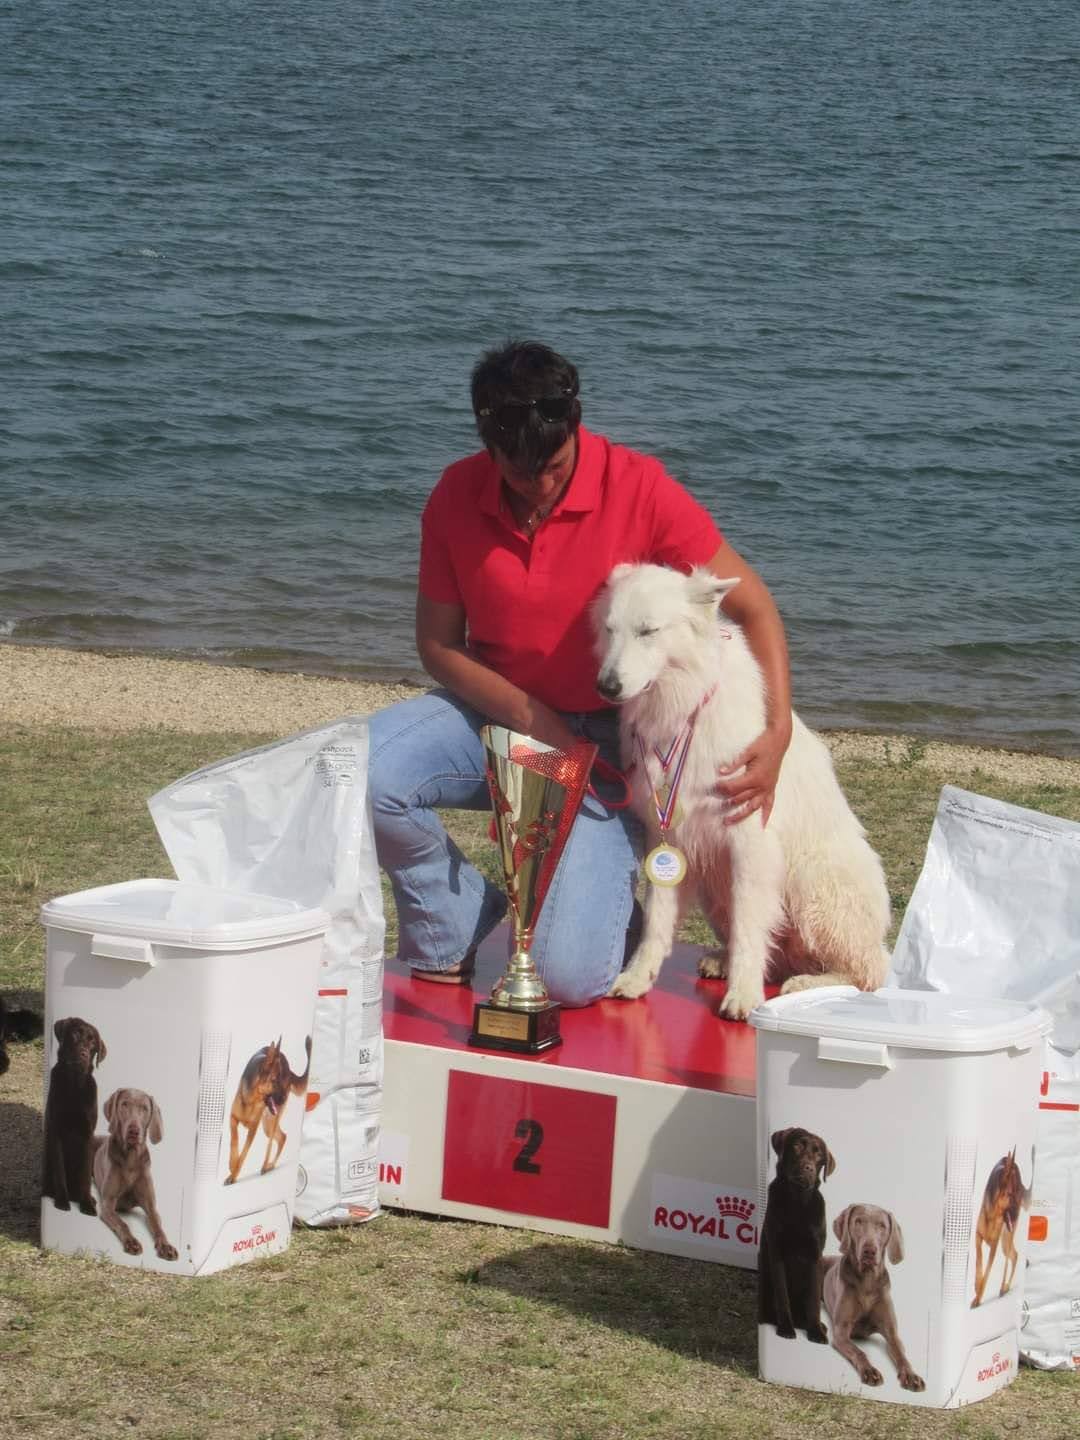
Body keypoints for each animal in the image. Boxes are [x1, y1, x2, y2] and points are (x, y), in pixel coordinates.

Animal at [596, 564, 892, 1025]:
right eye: (610, 630)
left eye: (648, 631)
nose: (606, 687)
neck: (684, 704)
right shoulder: (668, 840)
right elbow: (657, 924)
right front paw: (637, 978)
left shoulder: (750, 843)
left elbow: (751, 927)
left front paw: (744, 995)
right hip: (714, 888)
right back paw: (726, 961)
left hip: (810, 883)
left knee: (869, 972)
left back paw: (806, 983)